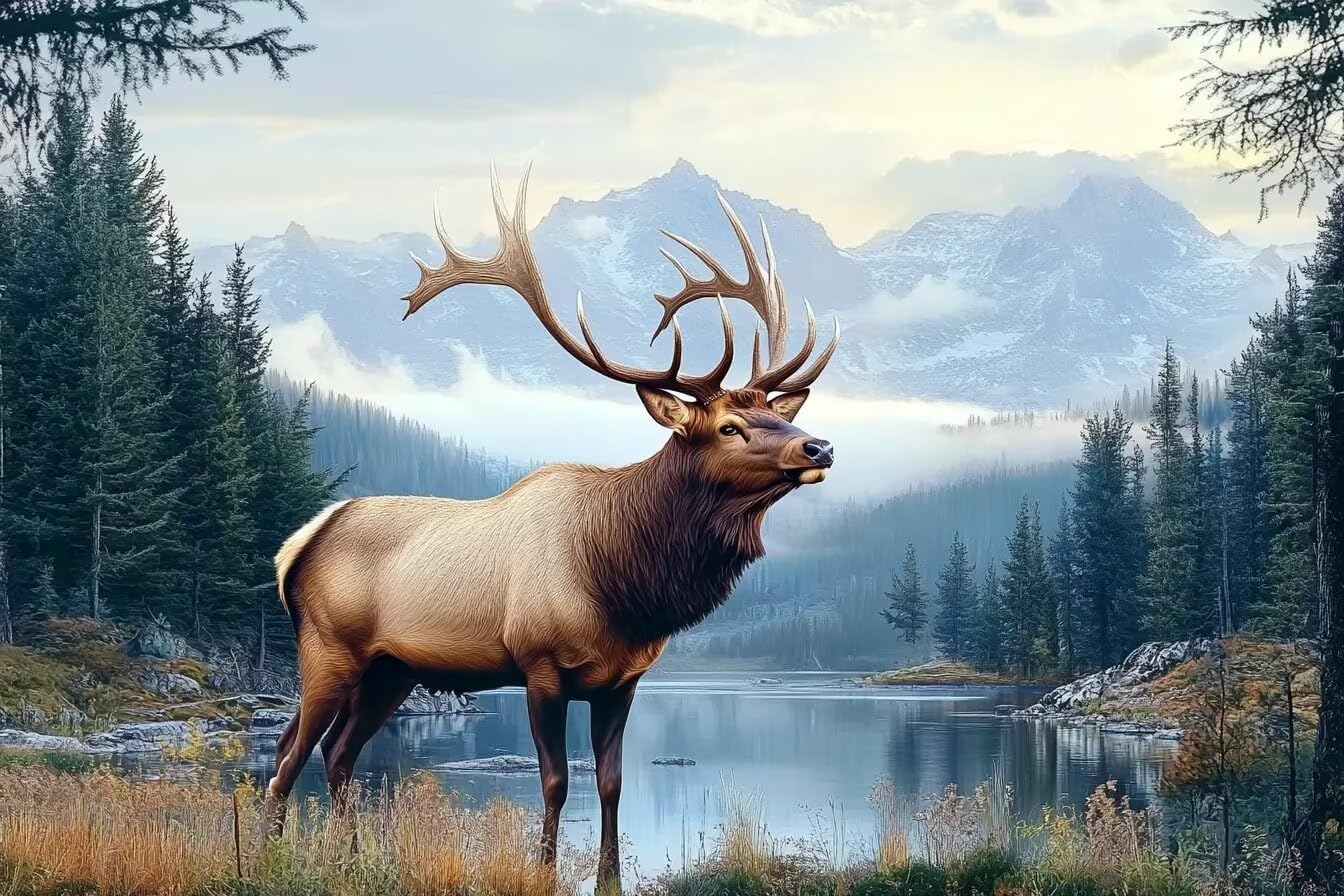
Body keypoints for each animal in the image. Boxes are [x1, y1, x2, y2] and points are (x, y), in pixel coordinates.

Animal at [264, 169, 839, 892]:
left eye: (777, 414)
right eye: (729, 427)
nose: (819, 446)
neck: (624, 585)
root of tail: (297, 545)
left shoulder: (623, 680)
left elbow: (612, 784)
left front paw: (610, 878)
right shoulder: (539, 666)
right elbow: (557, 783)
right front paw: (542, 871)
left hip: (392, 669)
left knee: (338, 754)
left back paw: (352, 862)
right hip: (329, 649)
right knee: (288, 754)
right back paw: (269, 858)